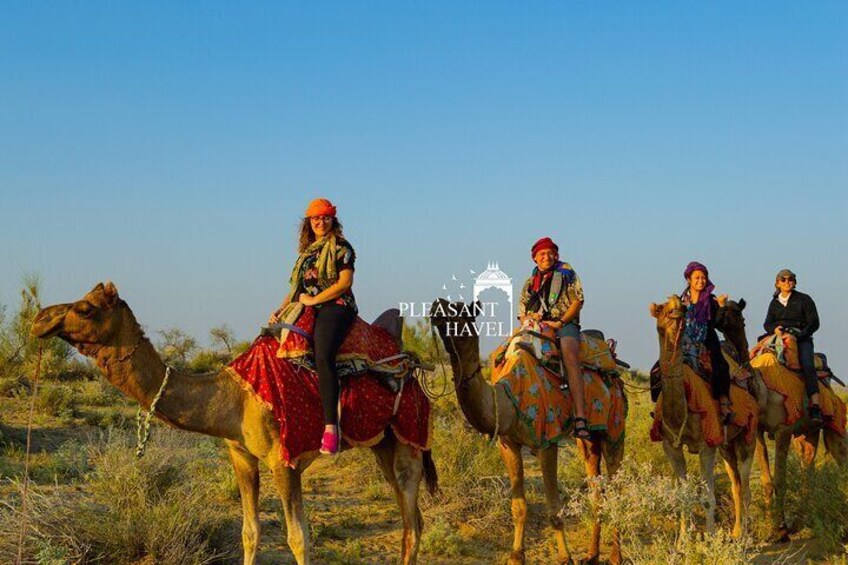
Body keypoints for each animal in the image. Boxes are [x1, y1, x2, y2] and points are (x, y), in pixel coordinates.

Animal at [29, 282, 438, 564]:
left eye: (85, 309)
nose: (39, 319)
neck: (235, 396)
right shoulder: (241, 456)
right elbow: (250, 532)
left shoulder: (284, 460)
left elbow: (298, 538)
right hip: (382, 444)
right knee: (412, 520)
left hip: (409, 438)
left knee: (413, 522)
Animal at [430, 298, 624, 560]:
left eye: (462, 312)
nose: (435, 307)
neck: (508, 399)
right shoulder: (508, 443)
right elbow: (519, 507)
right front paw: (516, 555)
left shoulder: (547, 440)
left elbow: (554, 510)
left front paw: (566, 558)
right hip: (589, 438)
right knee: (596, 487)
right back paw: (592, 556)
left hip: (615, 426)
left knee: (615, 485)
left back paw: (615, 557)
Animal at [648, 296, 756, 536]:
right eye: (661, 308)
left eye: (683, 306)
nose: (676, 306)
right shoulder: (671, 447)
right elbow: (682, 495)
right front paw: (683, 539)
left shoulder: (707, 445)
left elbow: (708, 498)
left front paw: (711, 537)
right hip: (726, 444)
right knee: (736, 482)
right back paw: (736, 531)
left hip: (748, 434)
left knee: (745, 484)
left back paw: (744, 535)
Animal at [720, 298, 844, 540]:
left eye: (737, 312)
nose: (717, 319)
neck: (762, 390)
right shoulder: (759, 431)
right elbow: (768, 481)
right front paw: (773, 526)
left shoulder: (783, 430)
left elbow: (780, 479)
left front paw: (780, 531)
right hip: (808, 431)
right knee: (808, 468)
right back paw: (801, 520)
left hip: (833, 420)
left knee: (840, 457)